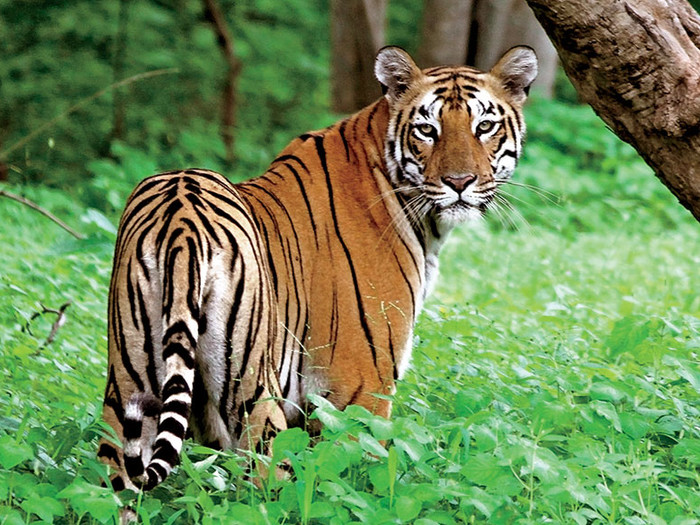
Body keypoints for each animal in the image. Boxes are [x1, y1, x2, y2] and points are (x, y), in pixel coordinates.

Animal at [98, 45, 538, 492]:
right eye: (427, 130)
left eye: (484, 126)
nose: (460, 182)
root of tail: (181, 218)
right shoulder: (360, 387)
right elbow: (361, 475)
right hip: (253, 390)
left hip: (129, 384)